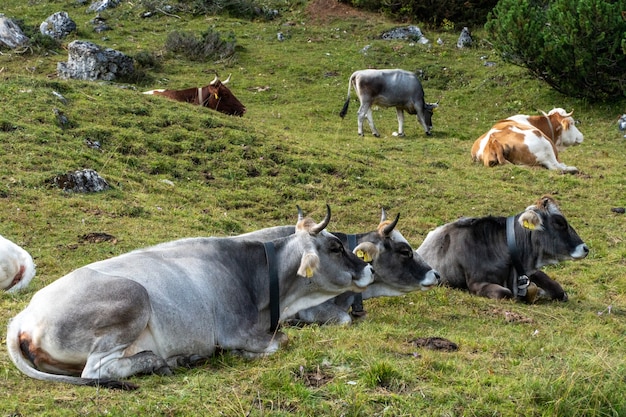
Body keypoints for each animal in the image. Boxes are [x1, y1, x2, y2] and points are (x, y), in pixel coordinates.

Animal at [7, 206, 372, 388]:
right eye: (335, 247)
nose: (367, 268)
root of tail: (23, 316)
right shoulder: (237, 331)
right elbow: (279, 342)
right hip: (133, 297)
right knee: (96, 371)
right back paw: (159, 362)